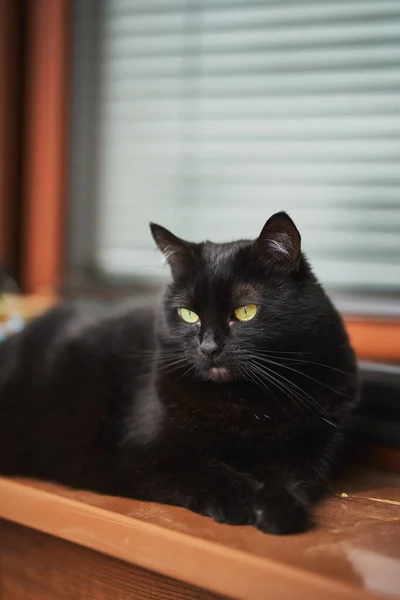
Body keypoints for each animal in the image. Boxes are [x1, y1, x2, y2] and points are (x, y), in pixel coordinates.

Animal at [0, 212, 356, 536]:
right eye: (188, 314)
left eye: (245, 311)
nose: (209, 347)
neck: (240, 402)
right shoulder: (143, 453)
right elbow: (200, 467)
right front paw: (241, 499)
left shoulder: (311, 447)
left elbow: (290, 476)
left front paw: (279, 508)